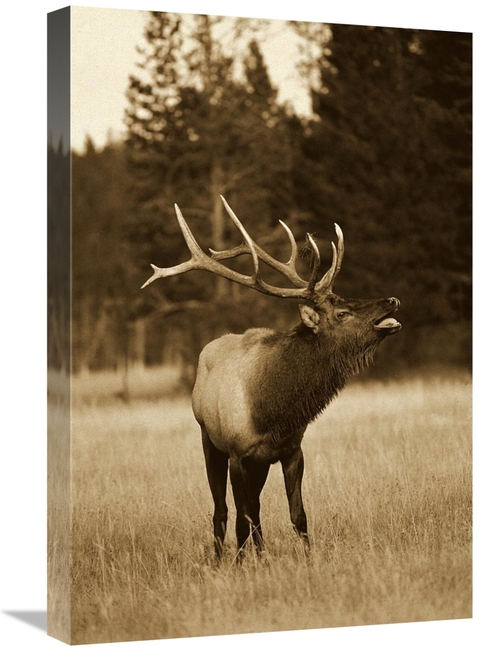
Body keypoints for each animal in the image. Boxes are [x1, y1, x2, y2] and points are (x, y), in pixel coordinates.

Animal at [141, 196, 401, 560]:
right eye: (342, 313)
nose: (391, 299)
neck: (273, 411)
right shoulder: (239, 454)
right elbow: (243, 517)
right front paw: (243, 563)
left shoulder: (290, 450)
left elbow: (297, 515)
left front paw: (305, 559)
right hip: (209, 440)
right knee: (223, 510)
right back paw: (220, 557)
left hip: (260, 463)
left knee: (254, 509)